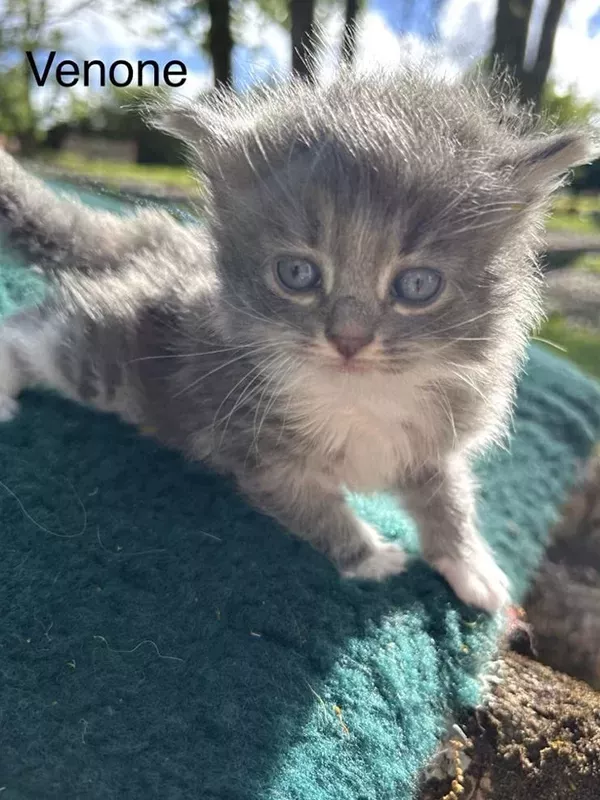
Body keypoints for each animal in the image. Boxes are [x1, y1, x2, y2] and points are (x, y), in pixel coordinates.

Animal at [0, 69, 592, 608]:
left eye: (418, 285)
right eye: (298, 275)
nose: (349, 340)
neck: (361, 397)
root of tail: (154, 240)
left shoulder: (435, 440)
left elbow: (450, 498)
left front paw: (471, 565)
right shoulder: (258, 453)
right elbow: (317, 511)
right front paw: (371, 556)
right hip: (111, 357)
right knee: (32, 330)